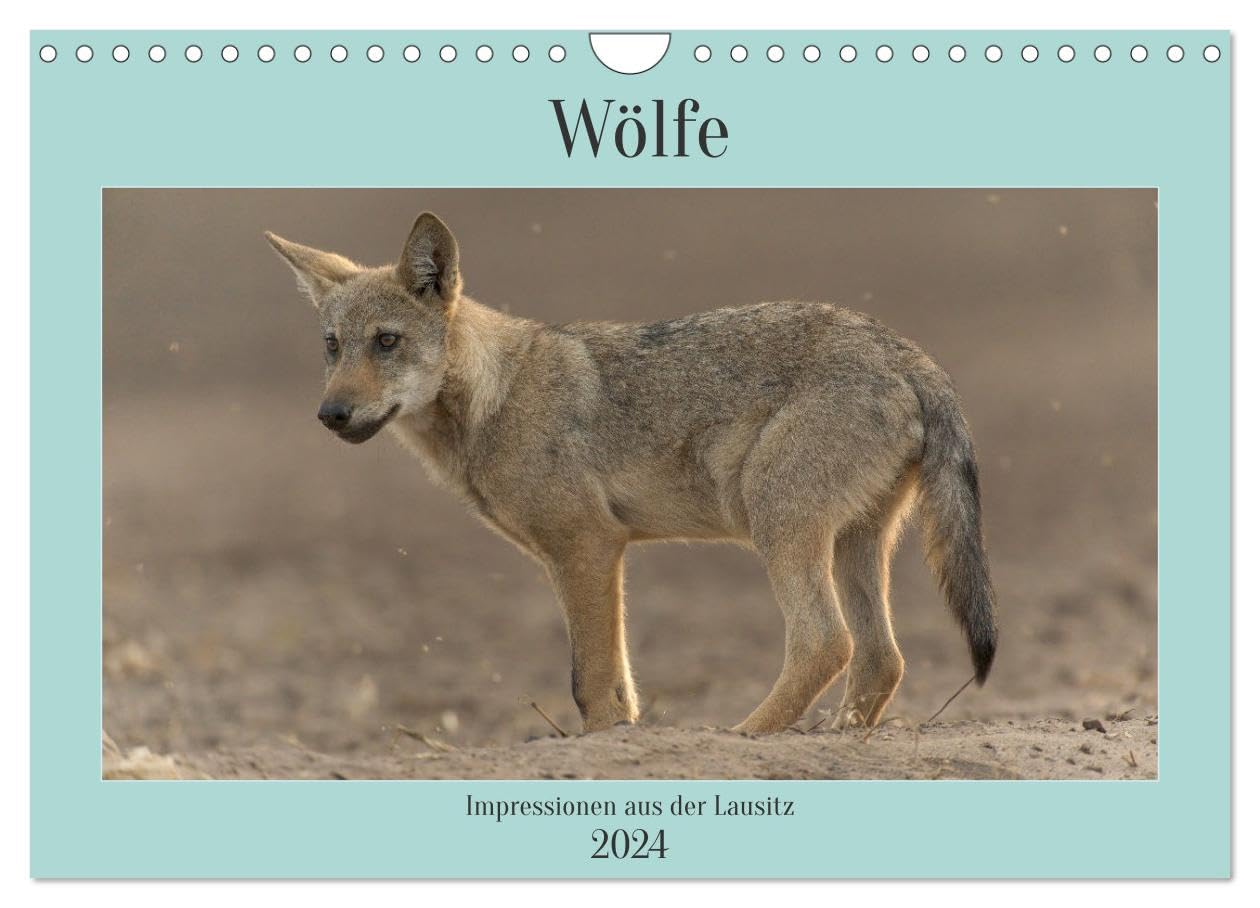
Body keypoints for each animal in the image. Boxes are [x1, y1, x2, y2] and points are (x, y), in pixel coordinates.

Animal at [265, 212, 997, 734]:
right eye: (333, 347)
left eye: (386, 342)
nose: (330, 413)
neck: (496, 396)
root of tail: (909, 353)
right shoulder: (587, 556)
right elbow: (616, 685)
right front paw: (624, 739)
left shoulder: (588, 547)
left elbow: (589, 681)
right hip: (854, 543)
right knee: (881, 660)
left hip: (779, 524)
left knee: (826, 643)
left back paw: (742, 737)